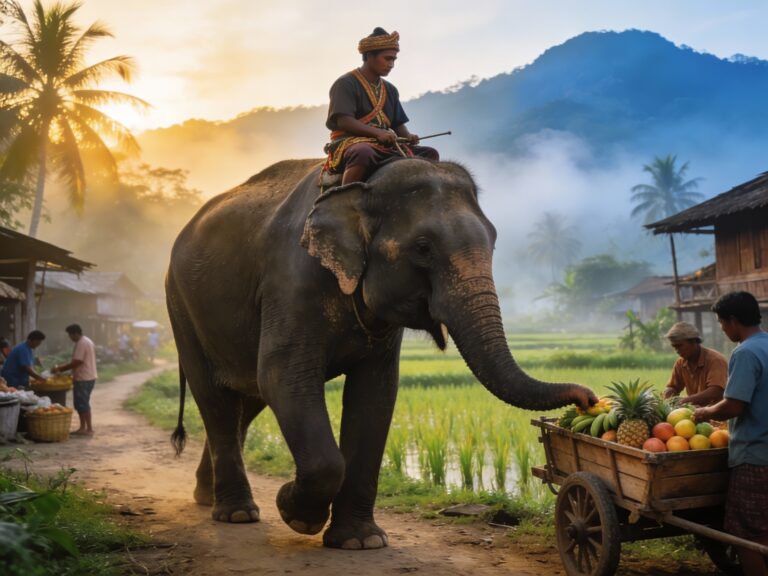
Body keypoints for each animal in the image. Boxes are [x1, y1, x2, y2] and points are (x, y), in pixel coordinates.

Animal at [165, 157, 595, 550]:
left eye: (493, 241)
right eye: (423, 248)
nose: (588, 397)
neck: (364, 185)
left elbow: (376, 393)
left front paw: (361, 541)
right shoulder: (290, 281)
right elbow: (284, 377)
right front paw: (294, 512)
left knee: (247, 400)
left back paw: (207, 497)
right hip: (180, 307)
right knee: (217, 399)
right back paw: (237, 514)